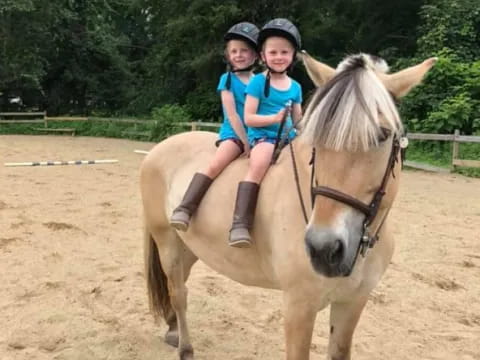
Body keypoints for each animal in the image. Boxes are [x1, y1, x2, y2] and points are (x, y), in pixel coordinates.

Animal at [141, 51, 436, 360]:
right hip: (167, 241)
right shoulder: (298, 307)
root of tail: (159, 148)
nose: (323, 249)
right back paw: (185, 347)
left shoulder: (352, 303)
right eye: (317, 138)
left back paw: (173, 330)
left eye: (382, 135)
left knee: (179, 285)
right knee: (178, 293)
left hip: (188, 245)